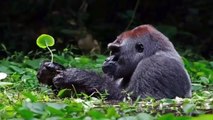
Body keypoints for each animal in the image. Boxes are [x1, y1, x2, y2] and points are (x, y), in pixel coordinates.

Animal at [37, 24, 192, 99]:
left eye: (115, 51)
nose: (107, 59)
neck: (153, 52)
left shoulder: (156, 65)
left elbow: (137, 98)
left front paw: (78, 77)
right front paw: (50, 71)